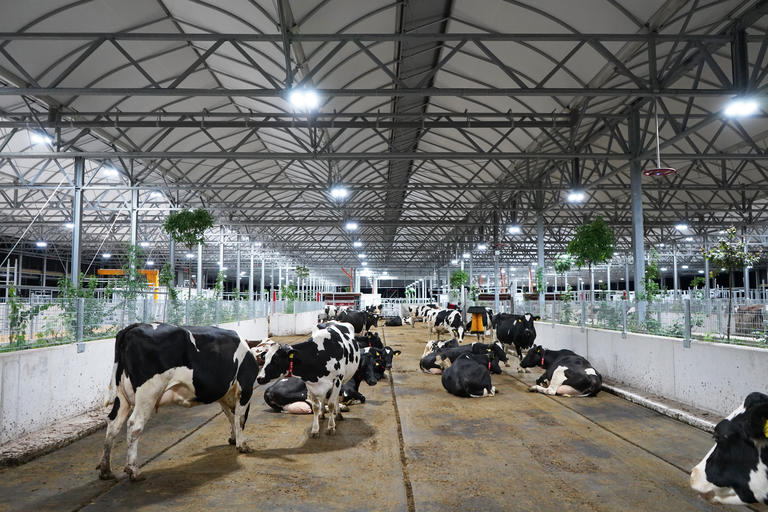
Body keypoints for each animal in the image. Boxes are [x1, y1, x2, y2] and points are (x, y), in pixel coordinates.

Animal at [96, 323, 259, 481]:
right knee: (134, 424)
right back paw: (133, 470)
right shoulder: (246, 387)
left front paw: (233, 438)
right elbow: (239, 417)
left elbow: (230, 416)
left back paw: (106, 470)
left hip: (122, 395)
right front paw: (242, 445)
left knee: (113, 424)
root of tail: (133, 327)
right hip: (148, 392)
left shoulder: (224, 394)